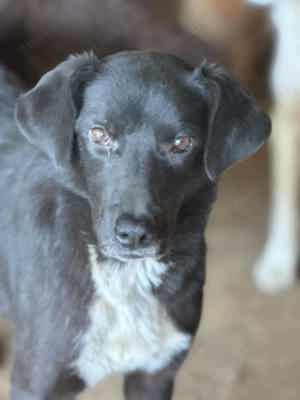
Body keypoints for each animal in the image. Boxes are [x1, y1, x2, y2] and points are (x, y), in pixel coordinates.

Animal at [0, 51, 270, 398]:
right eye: (99, 134)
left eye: (182, 143)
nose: (133, 234)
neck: (125, 278)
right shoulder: (35, 380)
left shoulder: (155, 375)